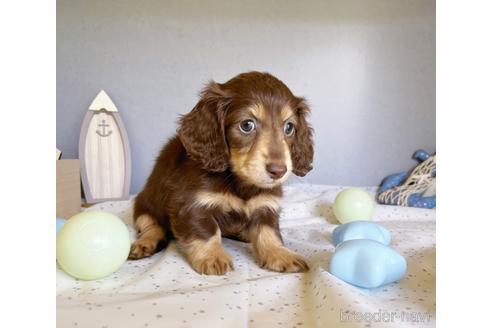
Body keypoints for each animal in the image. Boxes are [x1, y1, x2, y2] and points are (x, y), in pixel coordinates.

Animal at [131, 71, 314, 274]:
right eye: (247, 125)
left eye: (289, 127)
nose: (278, 171)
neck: (238, 182)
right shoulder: (192, 203)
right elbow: (207, 231)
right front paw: (212, 256)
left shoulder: (265, 204)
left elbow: (268, 232)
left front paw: (279, 253)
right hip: (144, 203)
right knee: (150, 224)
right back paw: (146, 242)